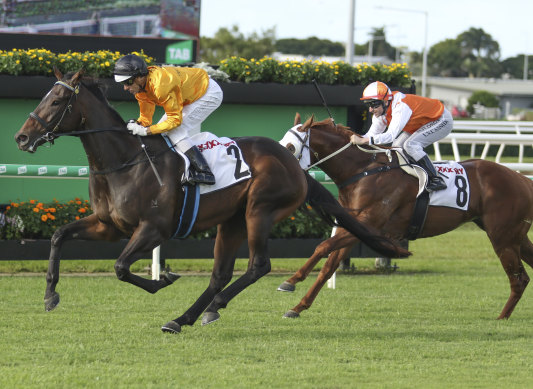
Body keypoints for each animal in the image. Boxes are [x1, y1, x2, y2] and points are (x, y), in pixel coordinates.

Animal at [13, 69, 408, 330]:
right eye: (45, 96)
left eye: (58, 100)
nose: (21, 137)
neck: (125, 160)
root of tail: (293, 163)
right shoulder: (108, 225)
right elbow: (58, 236)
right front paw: (50, 295)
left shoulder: (154, 229)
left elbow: (121, 267)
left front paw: (163, 280)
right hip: (231, 221)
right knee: (220, 274)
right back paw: (187, 316)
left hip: (259, 211)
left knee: (258, 265)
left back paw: (207, 307)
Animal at [276, 112, 532, 318]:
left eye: (290, 148)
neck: (363, 170)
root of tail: (521, 178)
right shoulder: (354, 228)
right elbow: (329, 265)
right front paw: (298, 307)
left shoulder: (370, 225)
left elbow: (322, 247)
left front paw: (290, 281)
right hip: (515, 237)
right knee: (523, 276)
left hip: (502, 237)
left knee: (518, 279)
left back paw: (501, 318)